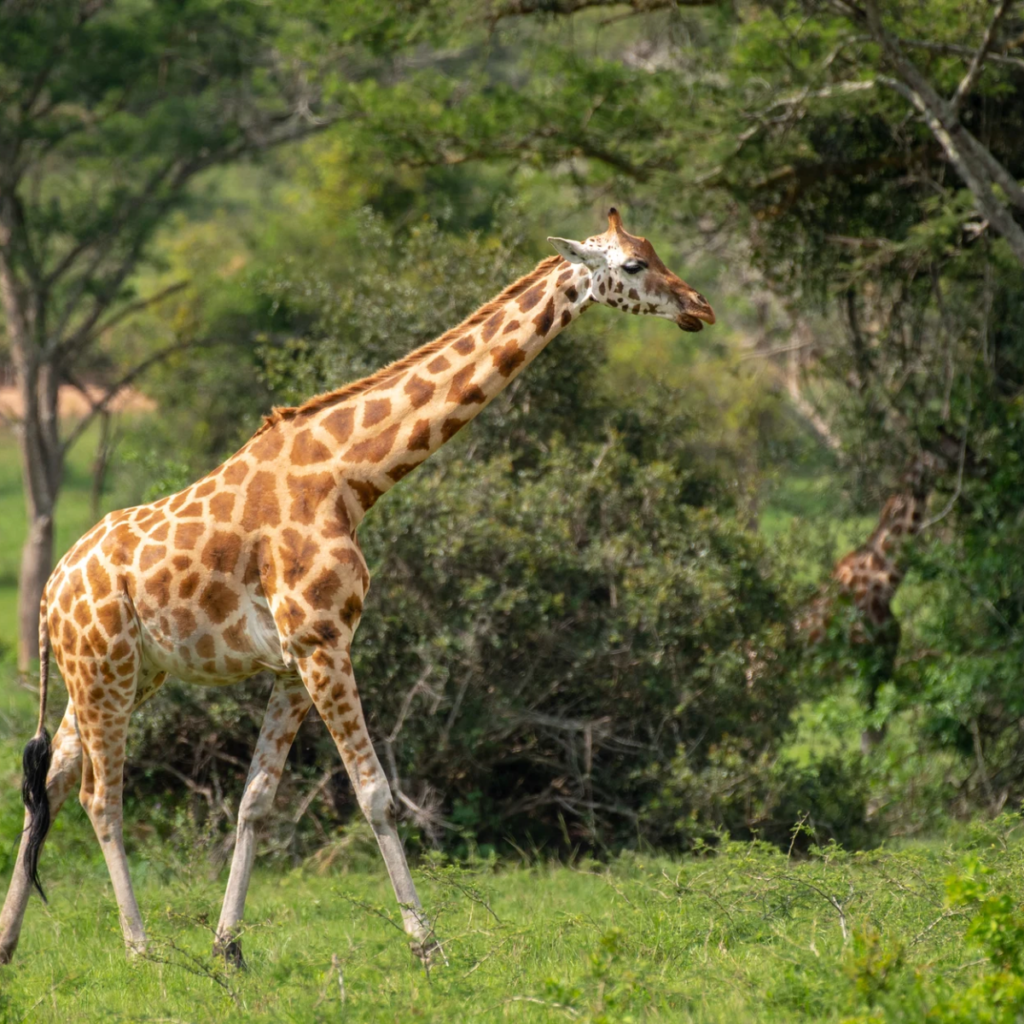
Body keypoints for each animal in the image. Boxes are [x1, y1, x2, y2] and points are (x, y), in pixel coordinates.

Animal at [0, 209, 715, 966]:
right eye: (633, 266)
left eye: (653, 250)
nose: (701, 307)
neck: (351, 477)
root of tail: (49, 592)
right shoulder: (323, 641)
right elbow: (376, 793)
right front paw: (427, 945)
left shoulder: (293, 662)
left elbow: (256, 801)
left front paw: (229, 949)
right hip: (103, 671)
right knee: (99, 797)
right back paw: (139, 947)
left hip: (122, 674)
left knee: (50, 779)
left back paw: (9, 942)